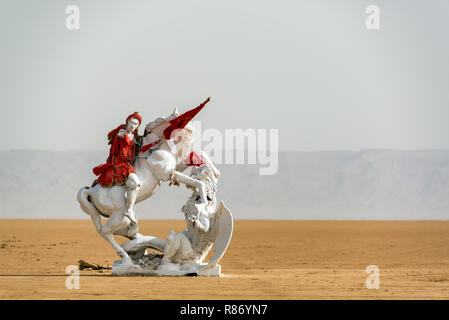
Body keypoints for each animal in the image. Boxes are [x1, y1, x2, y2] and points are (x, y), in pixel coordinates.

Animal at [77, 107, 220, 264]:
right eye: (181, 122)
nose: (190, 135)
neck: (155, 148)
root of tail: (91, 191)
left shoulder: (177, 167)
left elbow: (199, 155)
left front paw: (214, 176)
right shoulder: (168, 173)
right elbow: (197, 182)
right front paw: (204, 201)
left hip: (118, 218)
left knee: (123, 231)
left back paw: (140, 245)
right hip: (119, 216)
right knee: (106, 232)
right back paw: (126, 256)